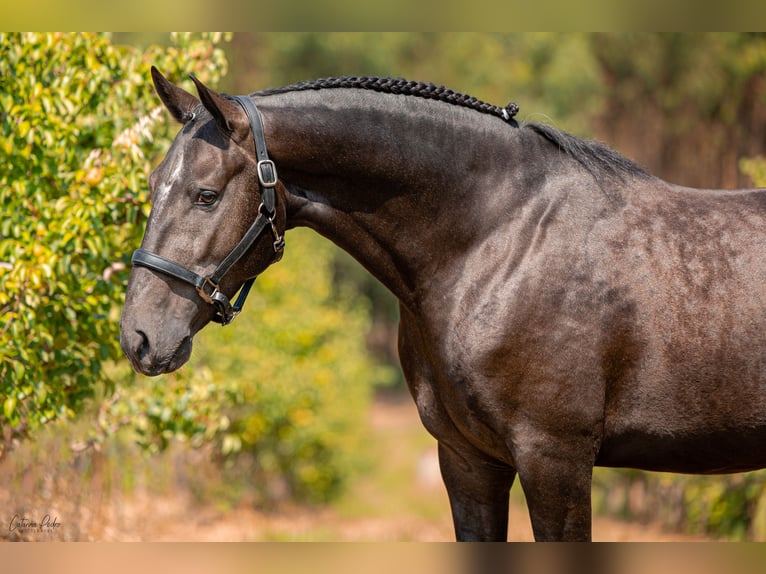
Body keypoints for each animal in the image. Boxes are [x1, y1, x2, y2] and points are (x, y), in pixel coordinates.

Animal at [120, 68, 766, 544]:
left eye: (206, 196)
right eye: (151, 185)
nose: (138, 338)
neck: (498, 240)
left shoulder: (555, 461)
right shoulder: (467, 461)